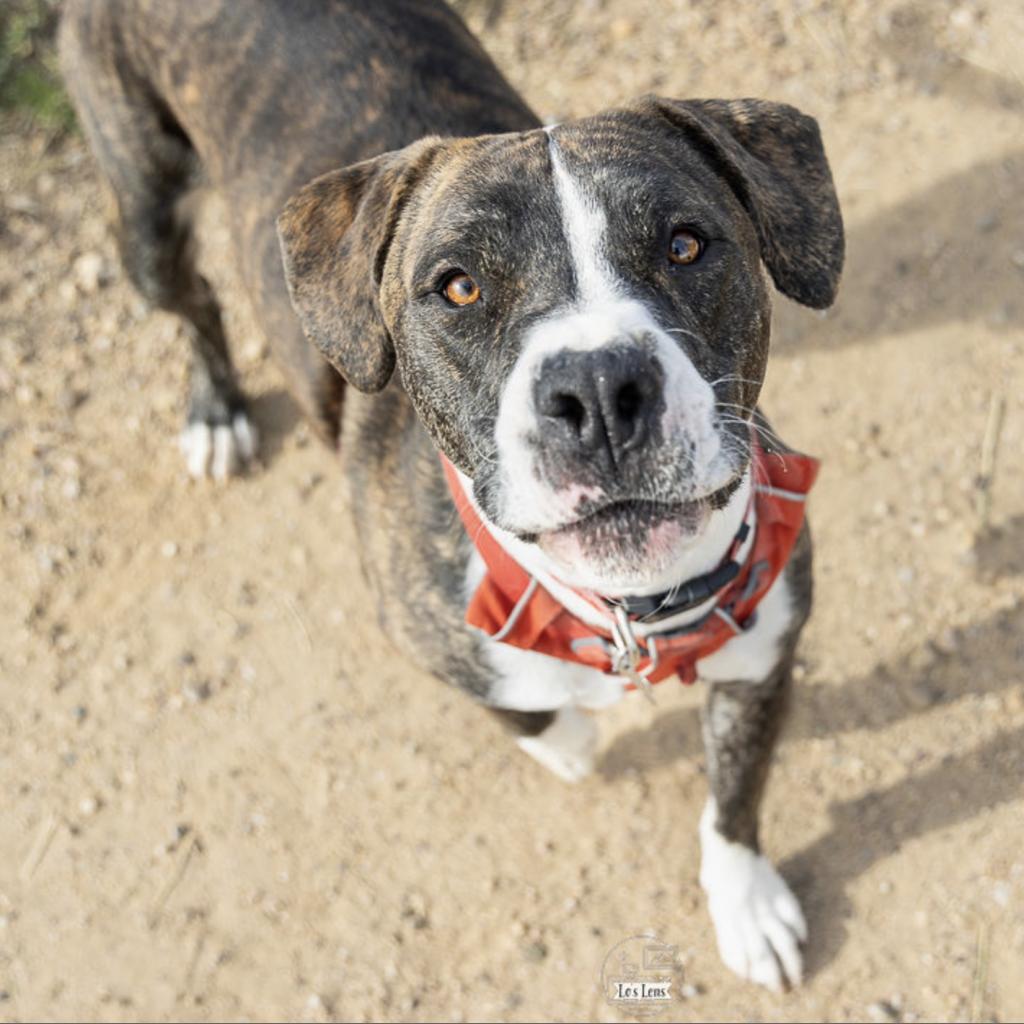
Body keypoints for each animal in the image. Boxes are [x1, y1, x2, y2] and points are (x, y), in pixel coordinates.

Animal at [64, 0, 843, 991]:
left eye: (685, 244)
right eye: (458, 287)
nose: (597, 387)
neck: (622, 610)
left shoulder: (764, 651)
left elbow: (735, 795)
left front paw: (746, 904)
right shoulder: (427, 633)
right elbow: (529, 708)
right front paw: (575, 745)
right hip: (142, 209)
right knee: (194, 297)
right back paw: (215, 410)